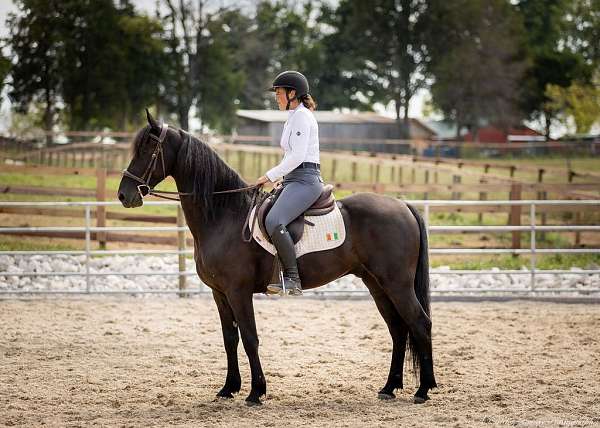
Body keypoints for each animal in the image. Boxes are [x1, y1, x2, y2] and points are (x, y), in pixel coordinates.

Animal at [118, 112, 436, 406]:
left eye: (148, 148)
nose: (124, 194)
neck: (224, 215)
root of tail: (404, 206)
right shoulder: (219, 293)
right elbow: (230, 338)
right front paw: (228, 388)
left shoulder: (238, 291)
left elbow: (250, 338)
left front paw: (256, 392)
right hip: (376, 284)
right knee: (398, 329)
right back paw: (389, 387)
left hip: (397, 284)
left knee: (420, 323)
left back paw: (423, 390)